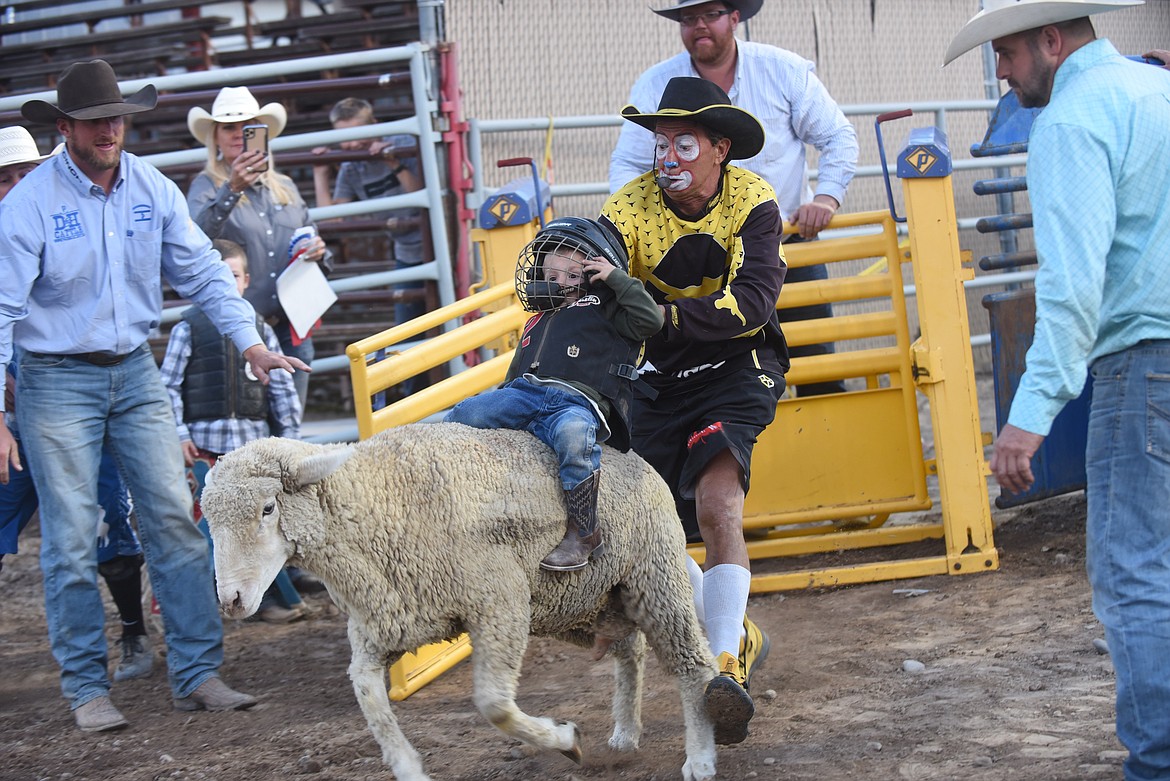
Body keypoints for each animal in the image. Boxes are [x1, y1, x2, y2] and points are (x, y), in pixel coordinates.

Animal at [196, 423, 716, 776]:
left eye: (268, 509)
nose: (231, 600)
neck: (376, 503)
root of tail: (632, 456)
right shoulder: (384, 624)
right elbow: (367, 695)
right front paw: (407, 767)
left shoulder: (500, 604)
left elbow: (493, 704)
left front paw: (565, 739)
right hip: (586, 603)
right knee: (630, 649)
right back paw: (626, 732)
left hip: (654, 574)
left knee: (692, 664)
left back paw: (702, 753)